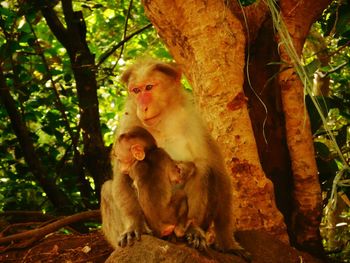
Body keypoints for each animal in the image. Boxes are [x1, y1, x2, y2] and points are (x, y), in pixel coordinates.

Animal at [101, 58, 247, 258]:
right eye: (136, 90)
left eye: (149, 87)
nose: (142, 107)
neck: (161, 120)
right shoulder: (127, 122)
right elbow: (121, 175)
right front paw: (134, 225)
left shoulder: (195, 122)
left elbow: (219, 173)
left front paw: (227, 241)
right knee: (107, 188)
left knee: (204, 168)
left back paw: (193, 230)